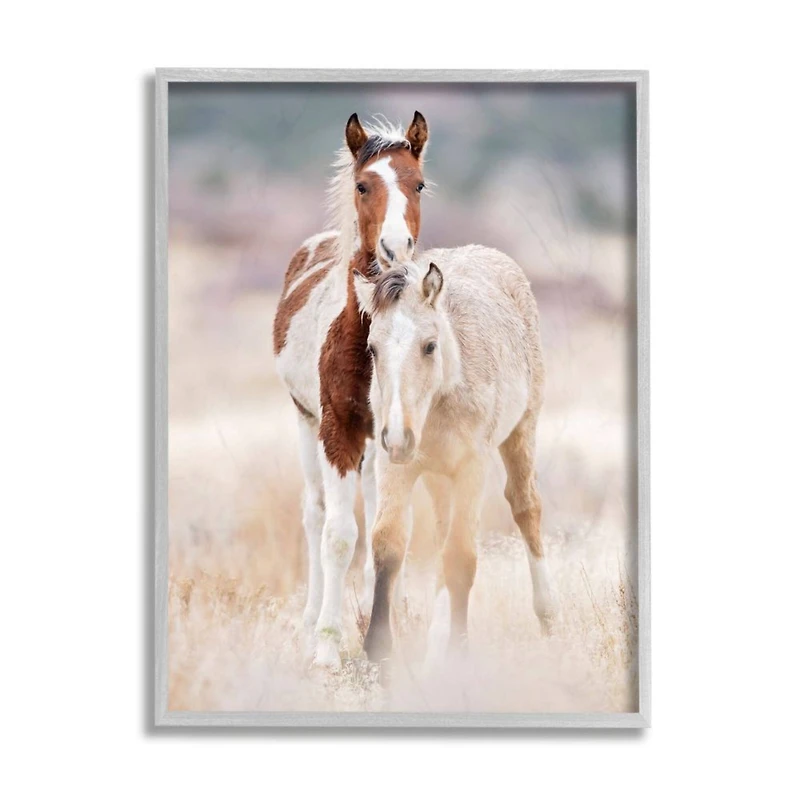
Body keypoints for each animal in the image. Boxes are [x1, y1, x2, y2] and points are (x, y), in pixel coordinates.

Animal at [272, 112, 429, 668]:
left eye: (418, 183)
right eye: (363, 185)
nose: (395, 250)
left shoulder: (393, 437)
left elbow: (389, 533)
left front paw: (389, 634)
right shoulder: (336, 429)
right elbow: (338, 535)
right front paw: (326, 646)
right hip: (305, 425)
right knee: (315, 514)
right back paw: (310, 623)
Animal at [353, 247, 558, 665]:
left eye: (429, 346)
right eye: (373, 349)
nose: (398, 437)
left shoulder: (471, 468)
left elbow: (462, 556)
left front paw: (457, 651)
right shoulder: (395, 467)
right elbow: (388, 544)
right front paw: (379, 649)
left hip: (522, 431)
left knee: (526, 506)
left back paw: (546, 615)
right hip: (436, 477)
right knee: (443, 532)